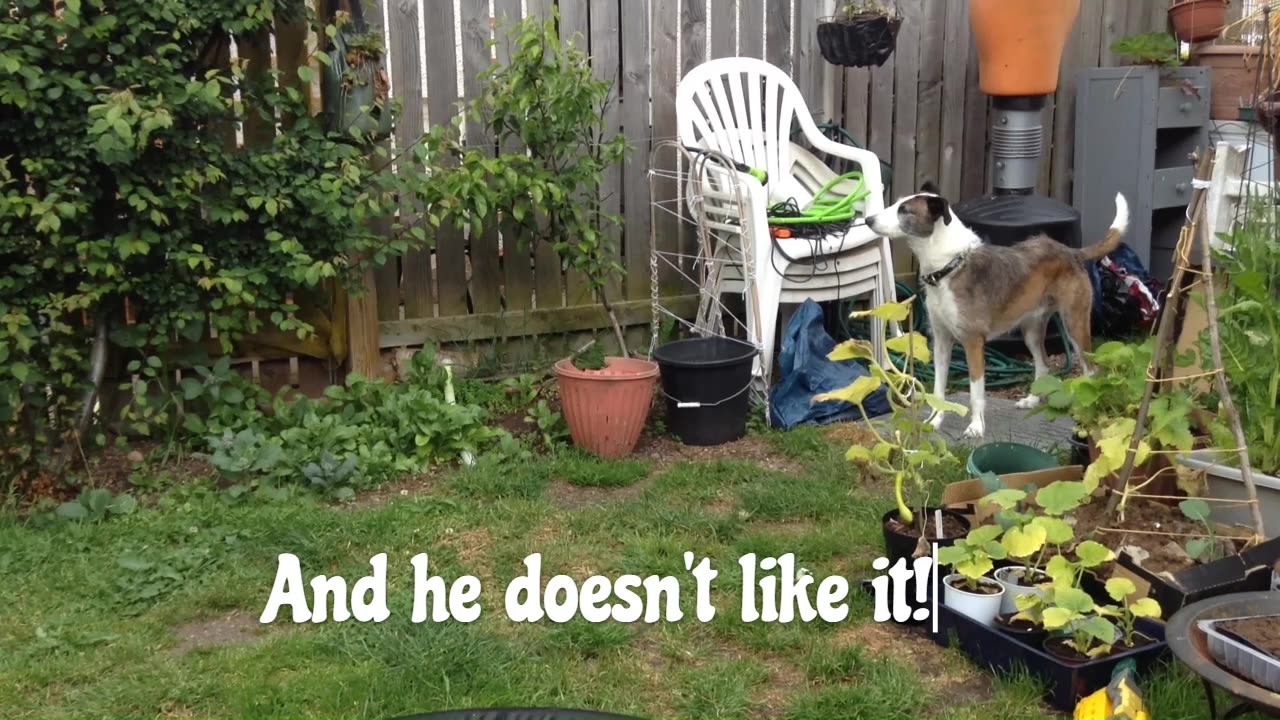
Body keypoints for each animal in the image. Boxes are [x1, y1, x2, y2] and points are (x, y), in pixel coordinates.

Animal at [860, 180, 1131, 438]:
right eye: (897, 204)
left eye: (904, 210)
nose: (868, 220)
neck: (949, 266)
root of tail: (1070, 251)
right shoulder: (941, 341)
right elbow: (938, 390)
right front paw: (935, 422)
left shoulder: (973, 342)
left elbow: (975, 391)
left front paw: (976, 427)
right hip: (1031, 330)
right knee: (1043, 363)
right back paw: (1032, 399)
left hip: (1075, 325)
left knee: (1091, 370)